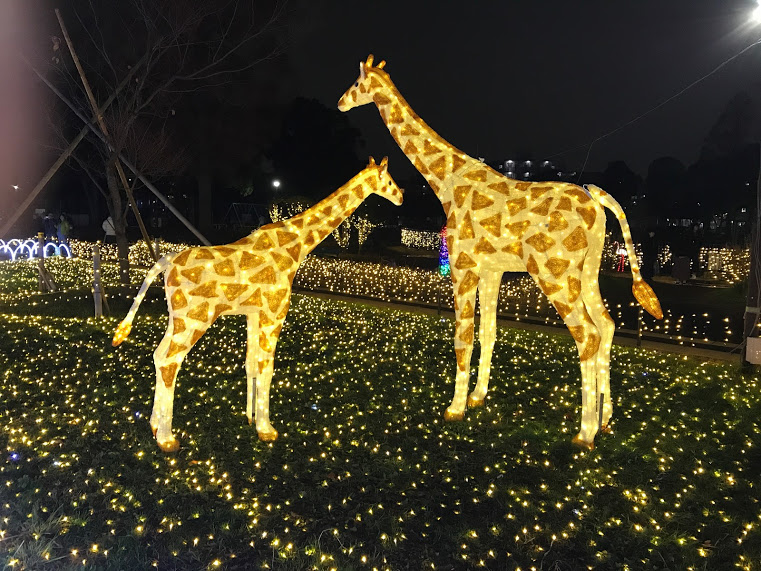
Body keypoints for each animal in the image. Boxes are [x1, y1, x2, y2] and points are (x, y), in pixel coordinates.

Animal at [112, 157, 403, 452]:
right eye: (389, 180)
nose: (401, 196)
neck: (296, 246)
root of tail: (165, 261)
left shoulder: (254, 313)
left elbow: (251, 363)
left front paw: (251, 419)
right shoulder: (274, 311)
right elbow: (267, 367)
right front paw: (267, 429)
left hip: (177, 315)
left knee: (158, 354)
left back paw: (154, 425)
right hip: (196, 316)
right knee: (169, 361)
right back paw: (167, 439)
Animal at [338, 55, 663, 448]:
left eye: (357, 83)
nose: (340, 102)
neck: (446, 183)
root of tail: (597, 203)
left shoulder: (462, 265)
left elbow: (462, 338)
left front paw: (454, 409)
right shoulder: (491, 270)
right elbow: (488, 332)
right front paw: (477, 398)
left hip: (555, 272)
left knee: (588, 335)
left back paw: (584, 434)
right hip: (586, 272)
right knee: (607, 325)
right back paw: (606, 419)